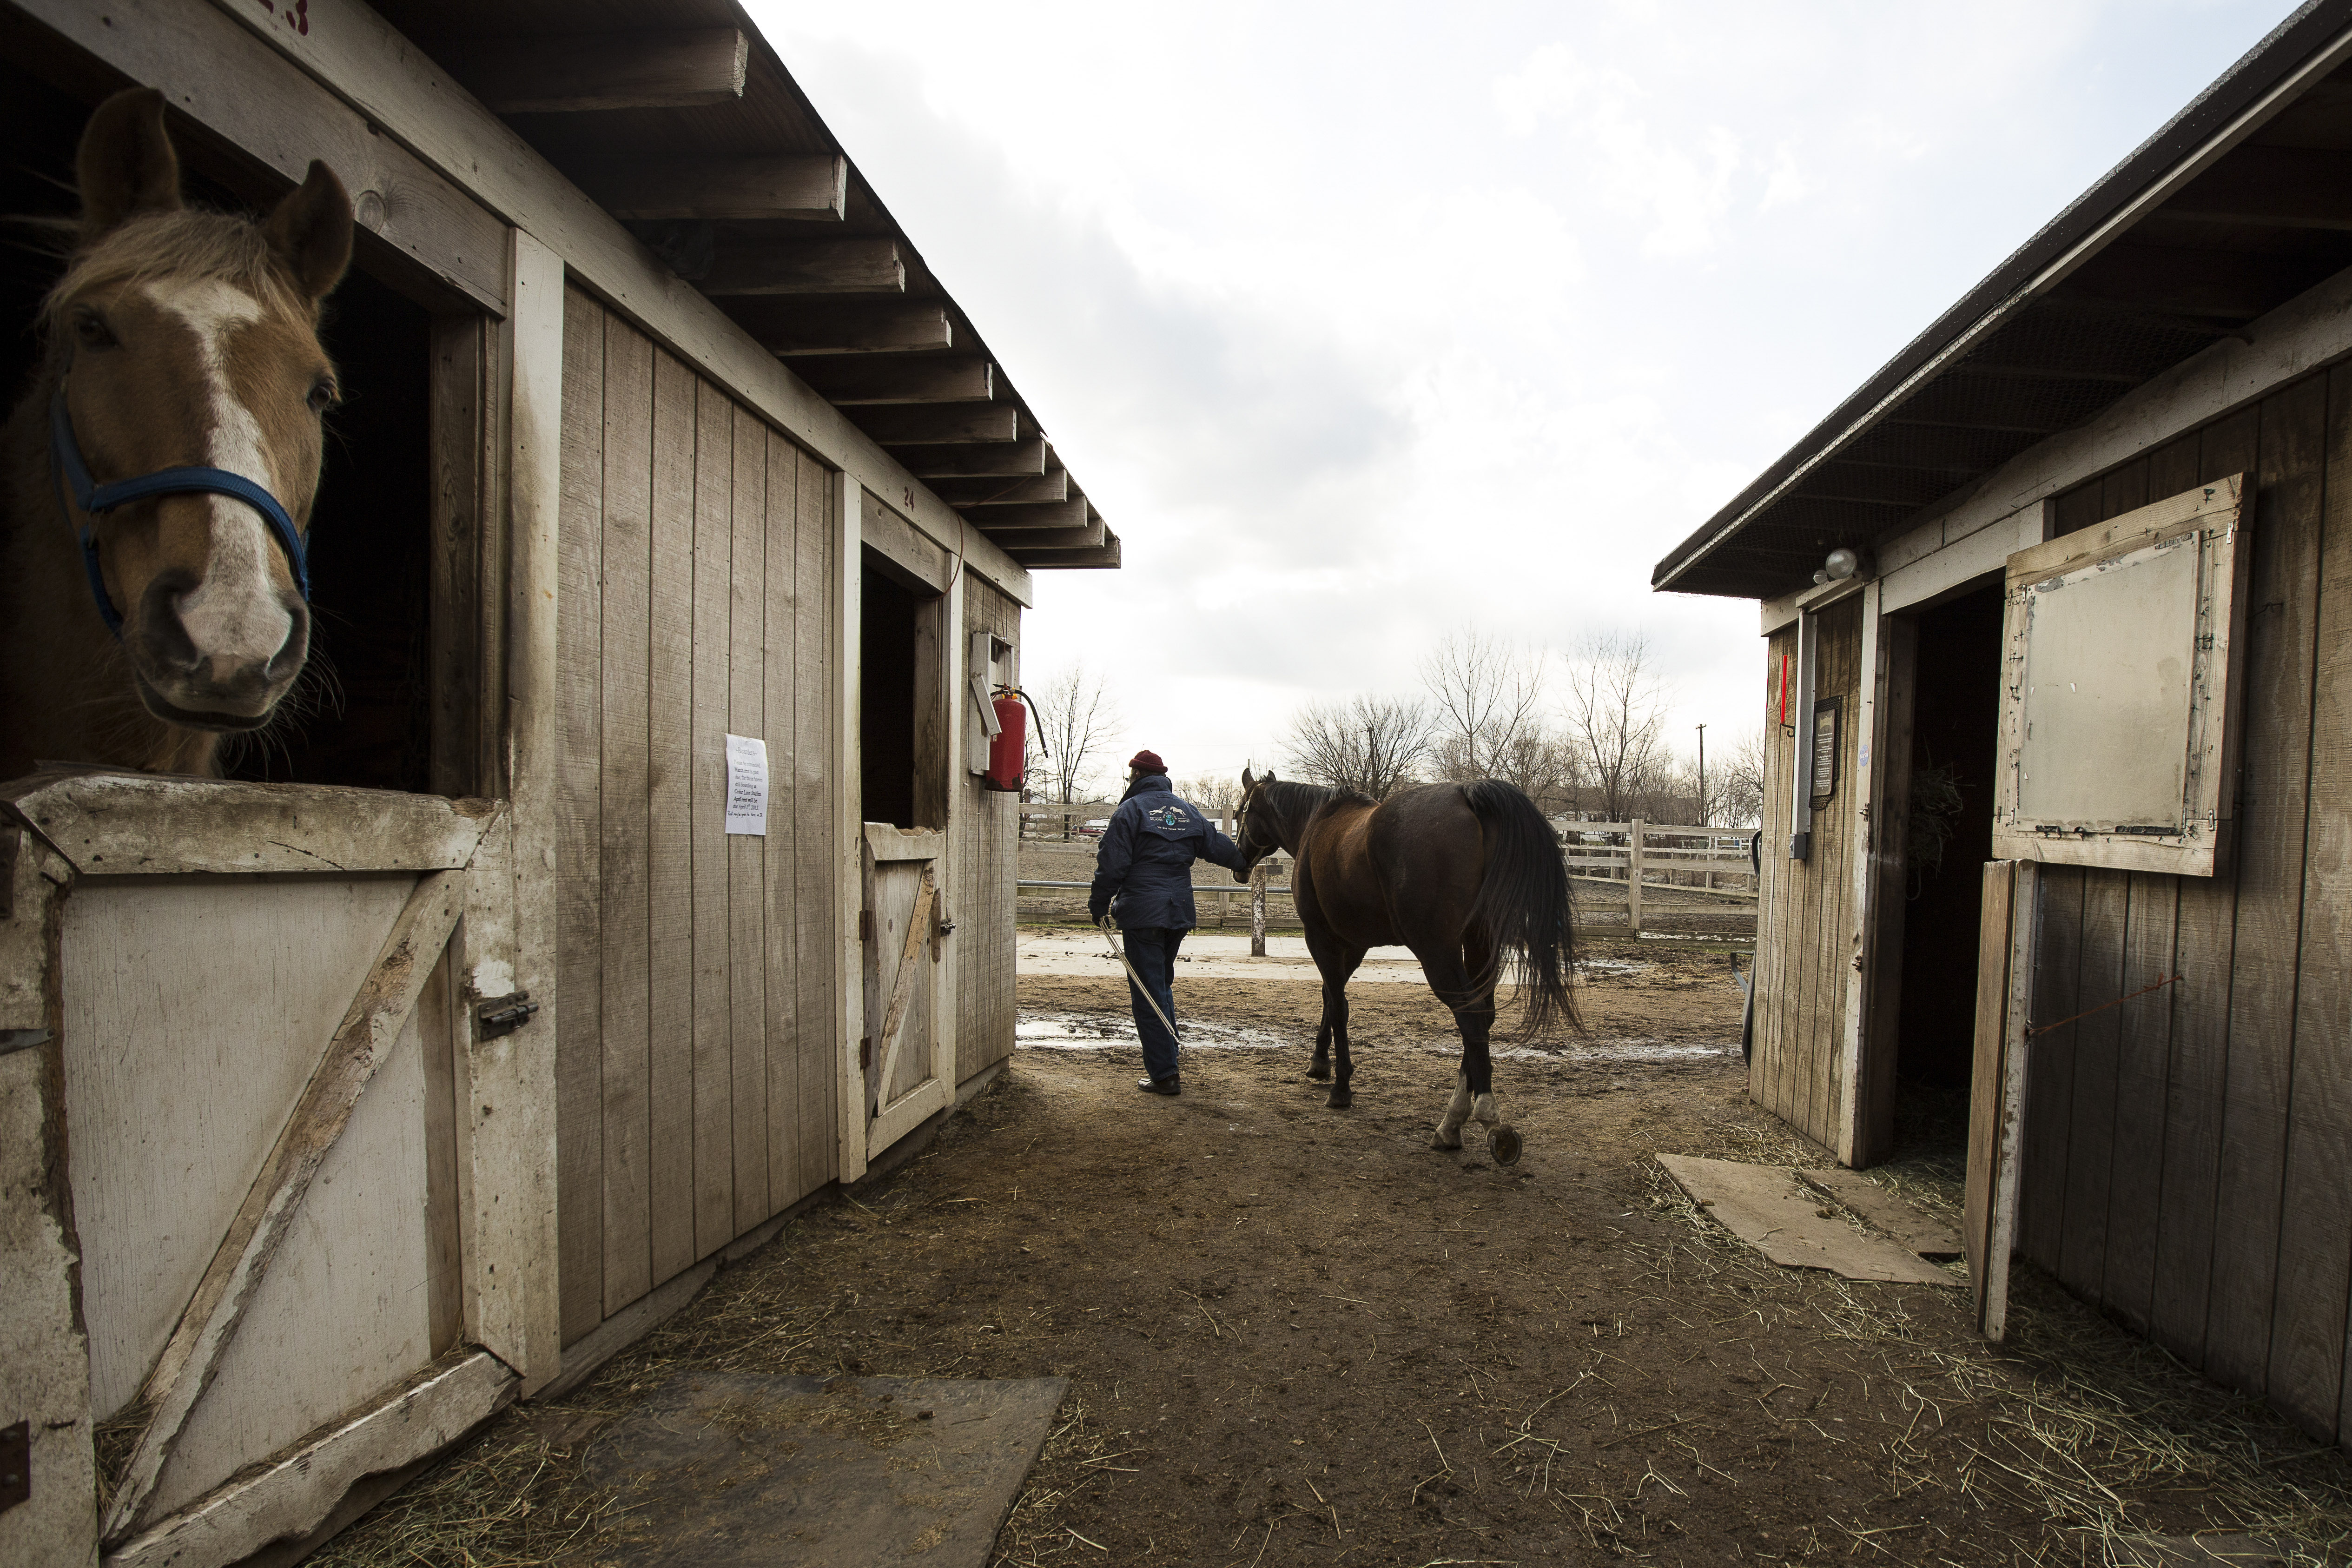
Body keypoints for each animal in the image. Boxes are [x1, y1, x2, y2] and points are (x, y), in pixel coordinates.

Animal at [1223, 771, 1571, 1166]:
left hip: (1438, 951)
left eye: (1242, 809)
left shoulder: (1321, 937)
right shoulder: (1353, 945)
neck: (1318, 822)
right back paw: (1452, 1123)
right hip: (1480, 941)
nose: (1239, 864)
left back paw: (1485, 1116)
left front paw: (1341, 1086)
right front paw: (1320, 1061)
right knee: (1483, 1015)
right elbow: (1331, 997)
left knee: (1469, 1015)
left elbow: (1338, 1006)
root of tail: (1468, 794)